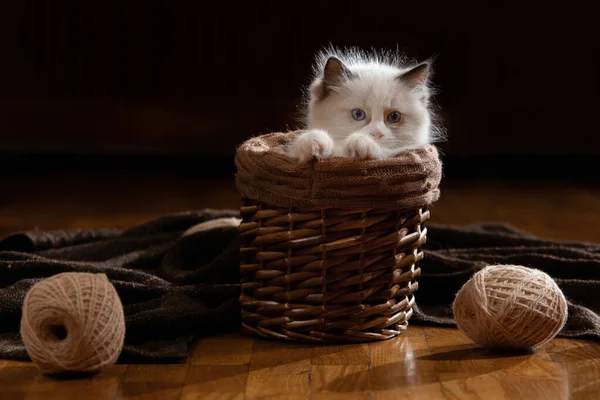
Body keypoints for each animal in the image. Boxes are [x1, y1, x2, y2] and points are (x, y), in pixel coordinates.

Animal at [288, 45, 442, 161]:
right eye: (358, 114)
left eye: (394, 117)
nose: (377, 134)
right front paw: (312, 143)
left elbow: (382, 150)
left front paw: (361, 143)